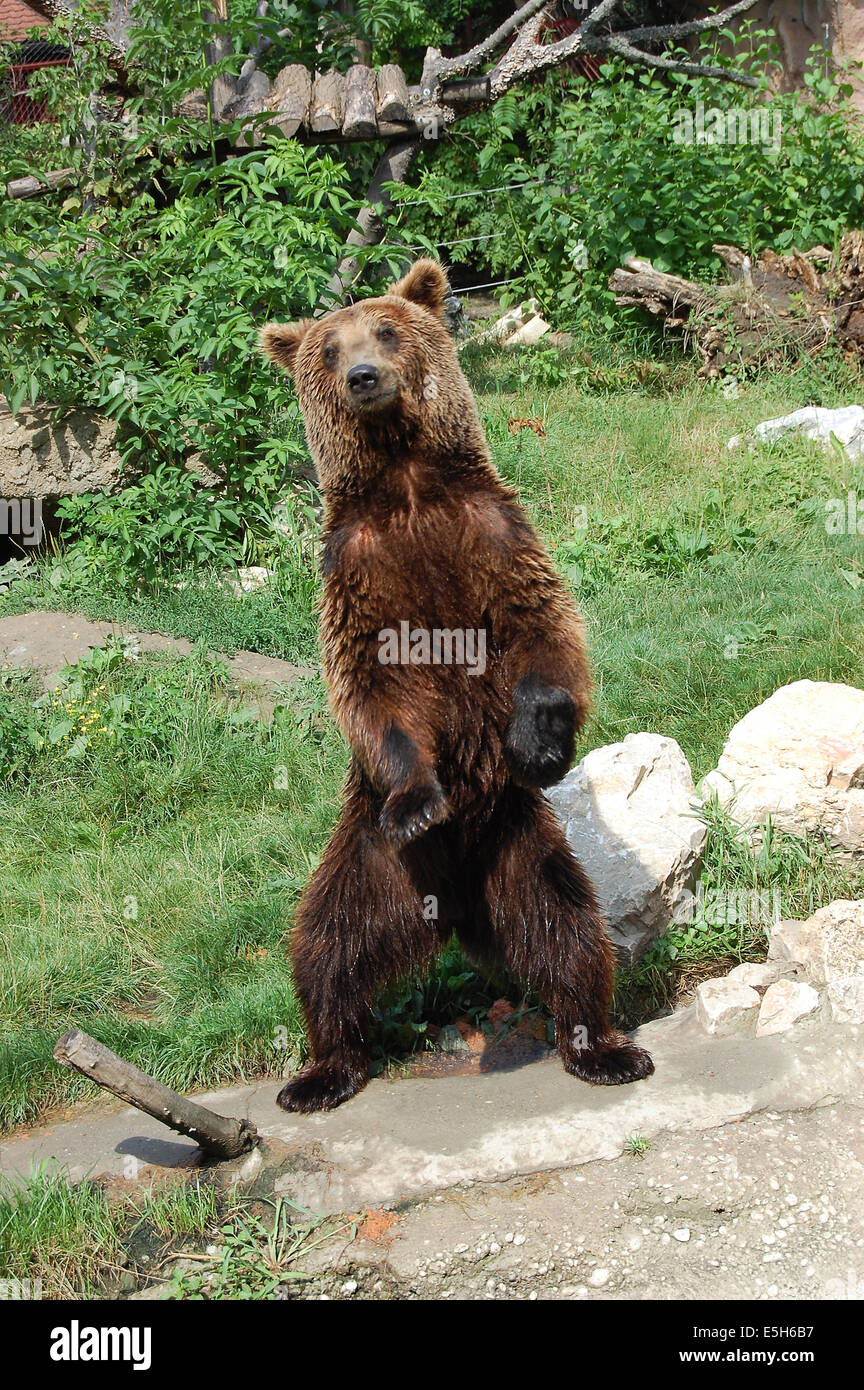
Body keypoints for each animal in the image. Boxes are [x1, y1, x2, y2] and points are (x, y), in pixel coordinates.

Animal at [261, 261, 652, 1112]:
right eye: (328, 348)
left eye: (387, 330)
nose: (363, 376)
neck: (407, 482)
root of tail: (457, 902)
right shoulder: (358, 574)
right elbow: (373, 688)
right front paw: (420, 798)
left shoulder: (495, 536)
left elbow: (544, 633)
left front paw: (540, 740)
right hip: (372, 858)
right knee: (327, 945)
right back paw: (322, 1070)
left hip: (522, 846)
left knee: (571, 933)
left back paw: (602, 1046)